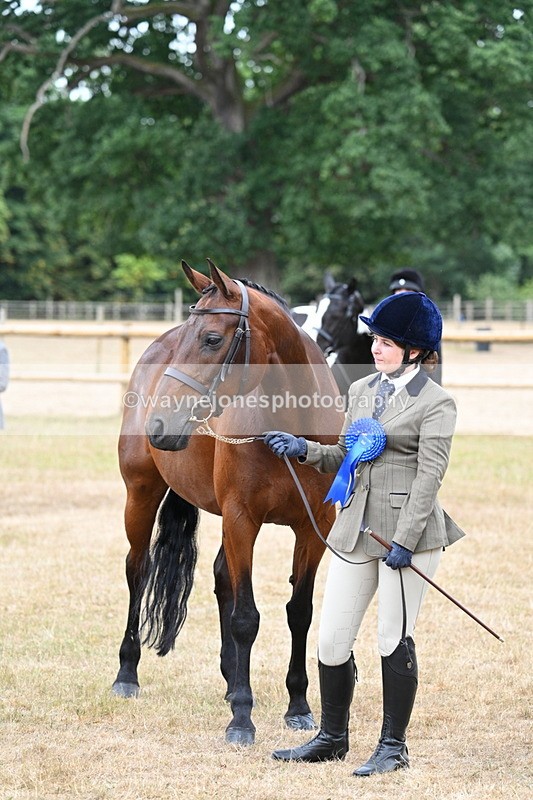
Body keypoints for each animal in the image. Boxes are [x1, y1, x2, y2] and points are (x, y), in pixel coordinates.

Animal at [113, 259, 344, 747]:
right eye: (189, 335)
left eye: (212, 339)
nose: (159, 425)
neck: (291, 425)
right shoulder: (242, 520)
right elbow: (245, 618)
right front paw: (242, 716)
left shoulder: (313, 527)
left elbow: (299, 612)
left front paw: (298, 706)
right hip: (140, 495)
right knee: (137, 571)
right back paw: (127, 674)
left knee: (221, 576)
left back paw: (230, 677)